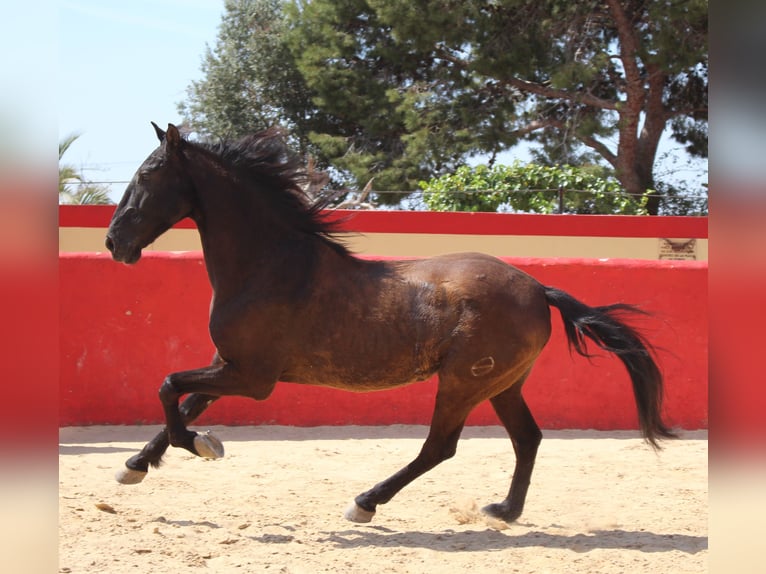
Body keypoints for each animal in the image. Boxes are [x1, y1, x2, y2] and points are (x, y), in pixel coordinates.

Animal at [103, 122, 680, 528]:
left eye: (149, 174)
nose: (114, 242)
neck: (269, 264)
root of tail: (539, 288)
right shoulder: (230, 365)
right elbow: (180, 402)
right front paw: (135, 465)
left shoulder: (252, 378)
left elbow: (168, 388)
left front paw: (201, 445)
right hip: (502, 383)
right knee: (528, 439)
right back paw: (504, 512)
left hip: (463, 382)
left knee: (440, 447)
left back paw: (365, 503)